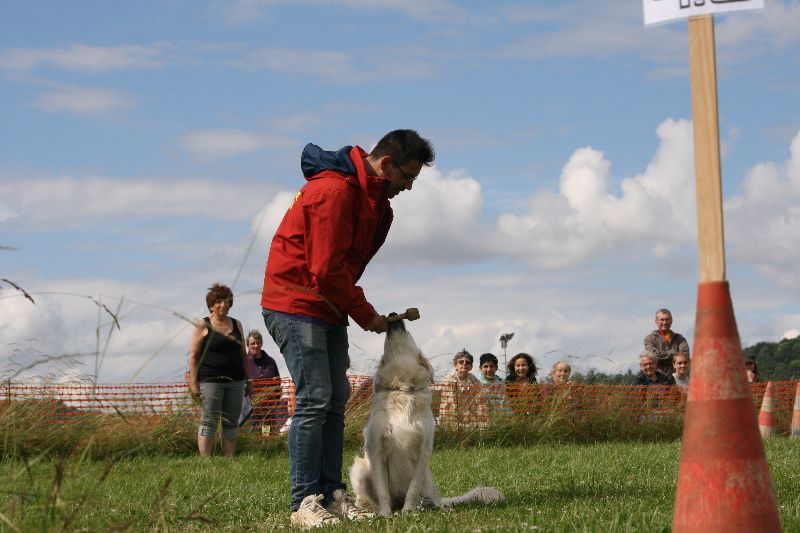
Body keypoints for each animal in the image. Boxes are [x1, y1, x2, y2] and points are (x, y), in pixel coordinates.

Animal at [349, 317, 504, 516]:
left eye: (408, 332)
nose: (394, 316)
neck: (403, 390)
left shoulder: (423, 451)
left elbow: (413, 489)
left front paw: (408, 512)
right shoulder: (377, 450)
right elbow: (382, 490)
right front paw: (385, 515)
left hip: (426, 479)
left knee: (432, 500)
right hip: (359, 468)